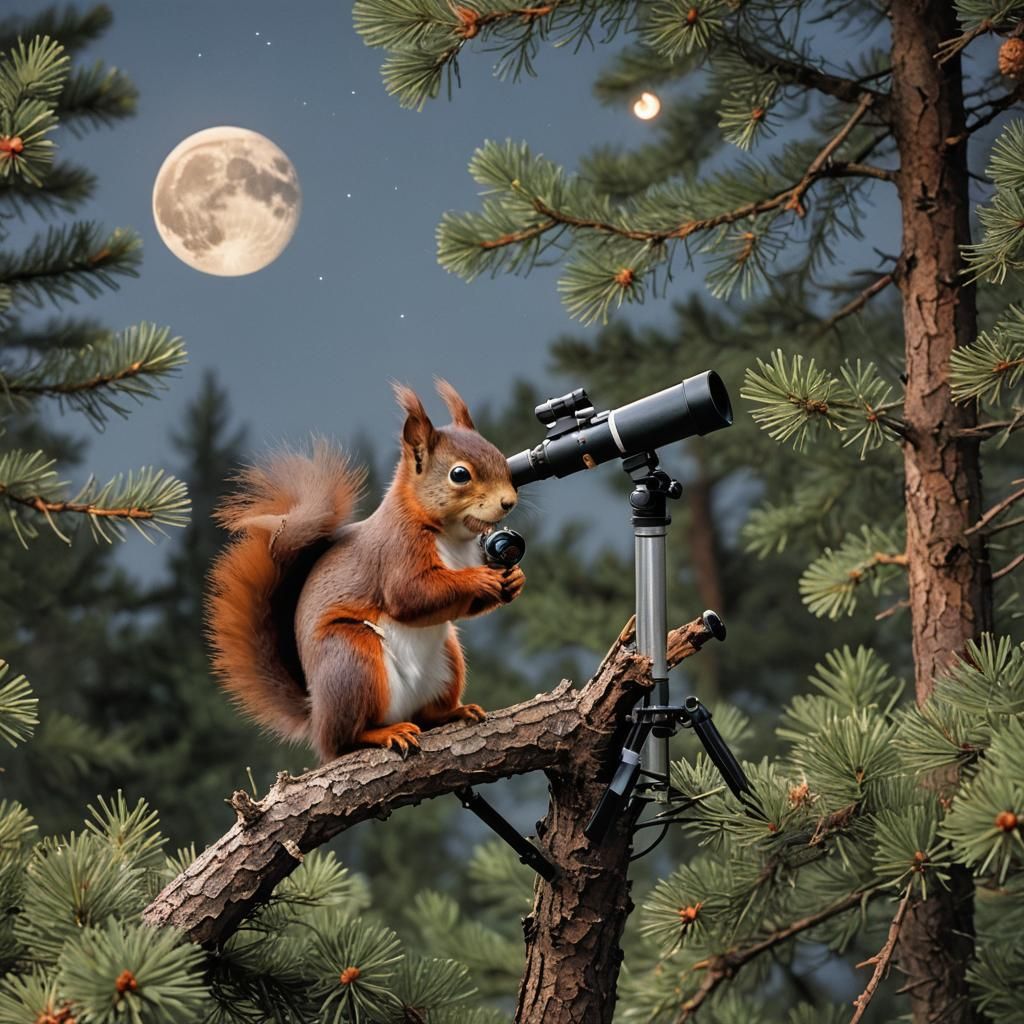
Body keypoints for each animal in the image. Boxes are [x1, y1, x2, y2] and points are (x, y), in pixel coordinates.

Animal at [207, 379, 524, 763]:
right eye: (459, 474)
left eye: (500, 457)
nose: (509, 502)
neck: (450, 535)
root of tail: (316, 715)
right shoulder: (398, 553)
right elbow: (412, 596)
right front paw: (480, 579)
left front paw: (514, 580)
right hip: (353, 659)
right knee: (345, 740)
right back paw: (385, 732)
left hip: (448, 659)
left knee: (426, 715)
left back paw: (453, 712)